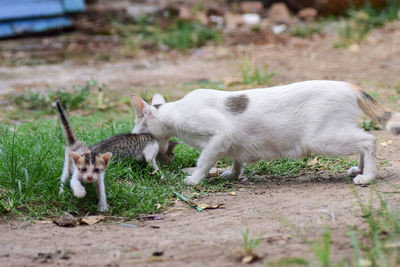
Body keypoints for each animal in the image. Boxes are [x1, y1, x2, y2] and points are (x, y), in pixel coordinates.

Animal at [130, 81, 400, 186]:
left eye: (137, 128)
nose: (131, 134)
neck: (175, 112)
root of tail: (347, 85)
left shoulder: (221, 134)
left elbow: (204, 161)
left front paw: (194, 179)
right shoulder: (232, 142)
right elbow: (236, 160)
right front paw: (232, 175)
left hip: (322, 139)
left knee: (369, 140)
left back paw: (367, 177)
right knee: (363, 141)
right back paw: (359, 169)